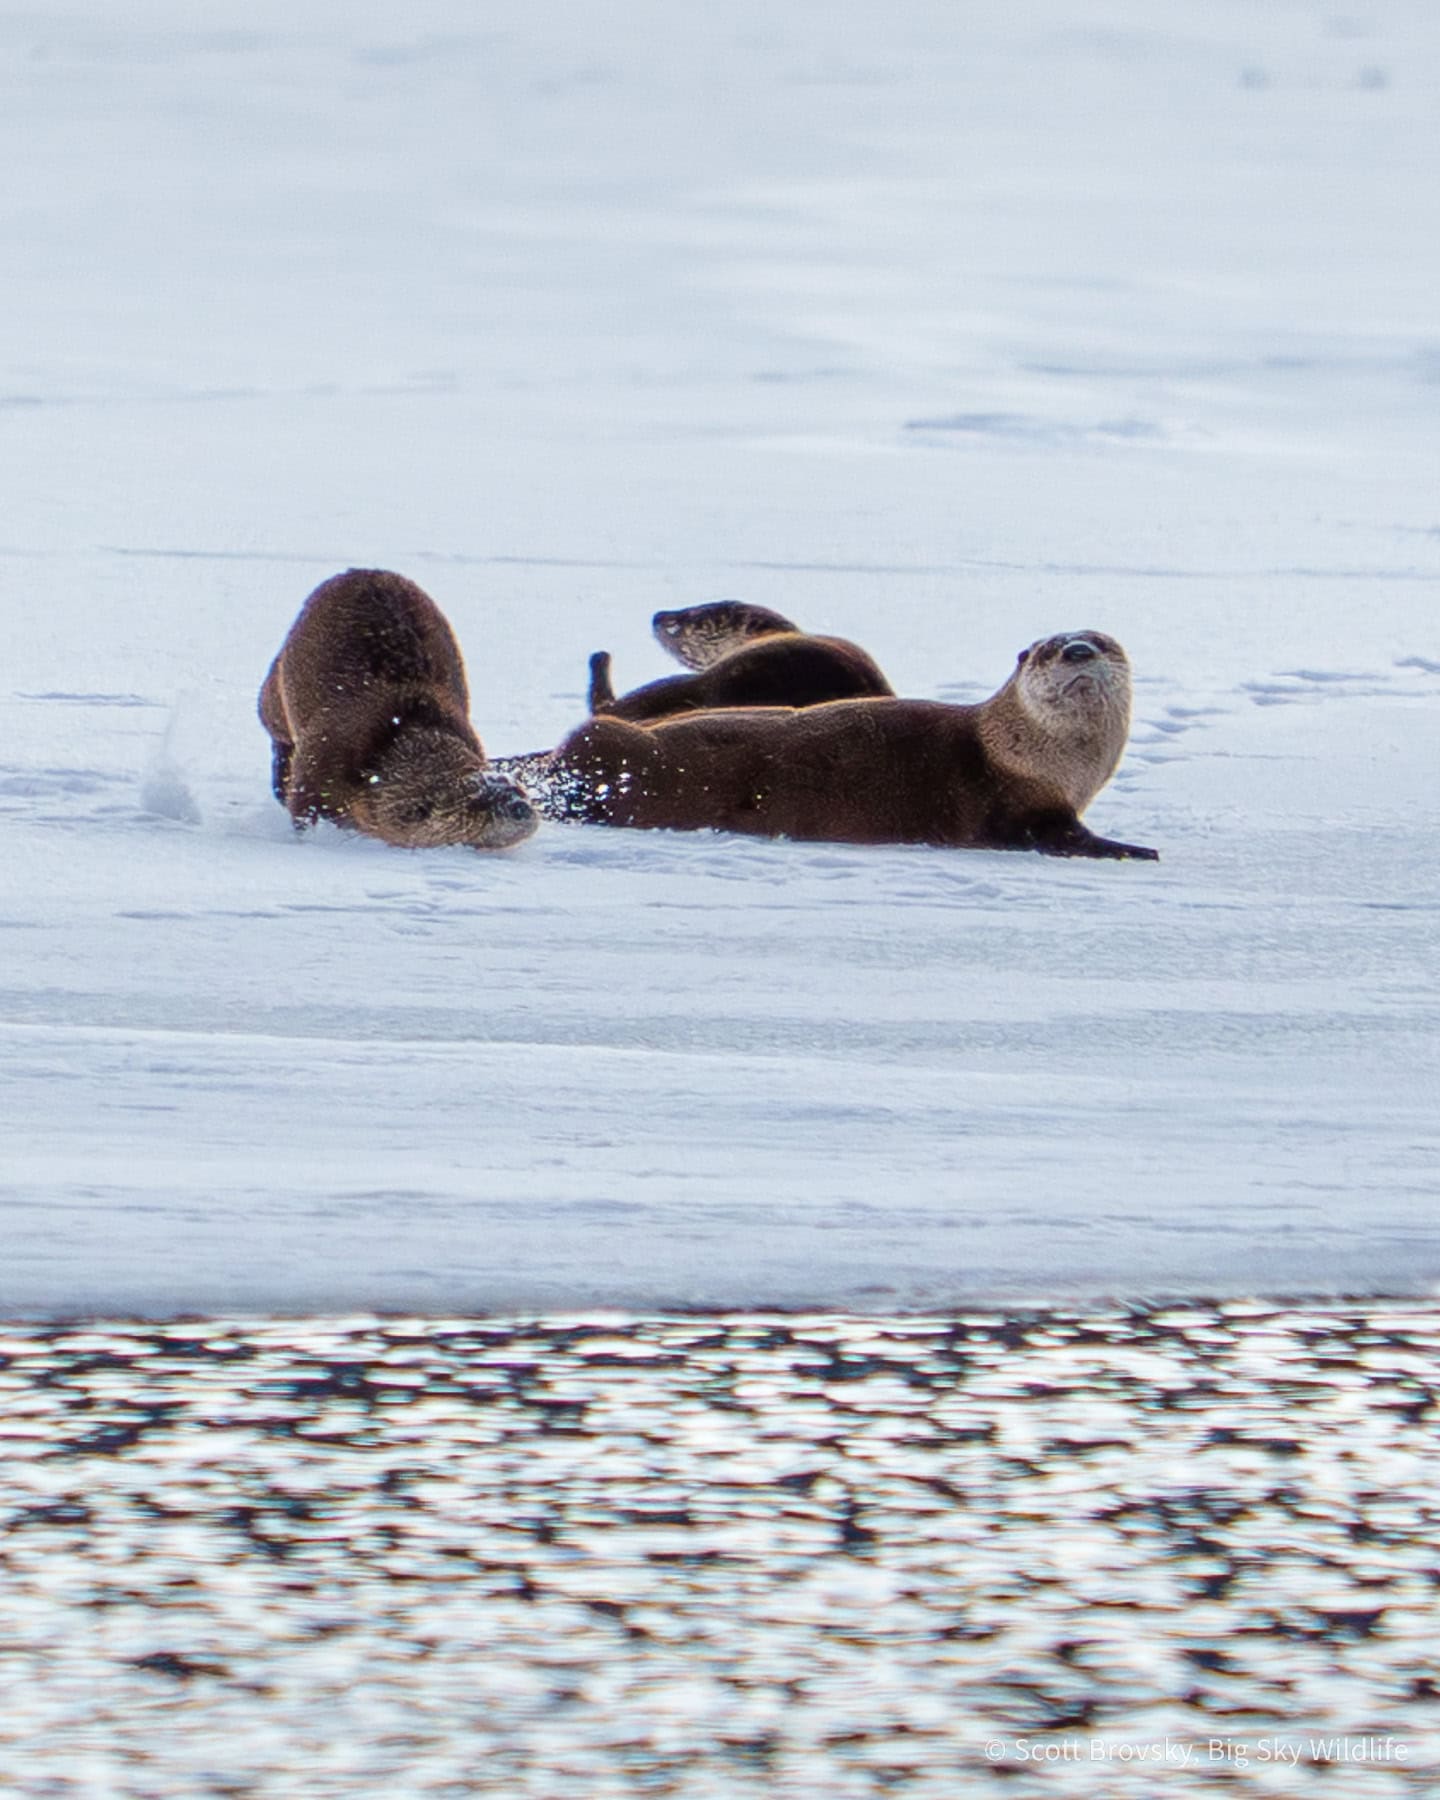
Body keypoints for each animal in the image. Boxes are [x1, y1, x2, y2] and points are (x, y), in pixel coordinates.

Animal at [258, 569, 537, 850]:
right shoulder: (328, 750)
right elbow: (306, 804)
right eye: (479, 804)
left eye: (516, 788)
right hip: (276, 689)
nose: (519, 807)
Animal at [516, 630, 1157, 860]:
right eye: (1048, 649)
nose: (1077, 651)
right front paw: (1137, 849)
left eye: (1102, 643)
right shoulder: (1021, 805)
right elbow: (1054, 836)